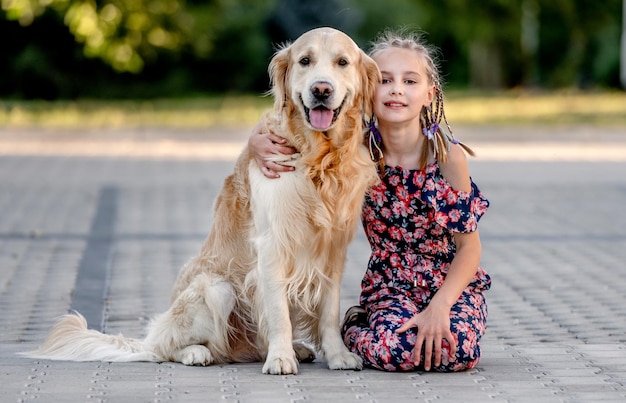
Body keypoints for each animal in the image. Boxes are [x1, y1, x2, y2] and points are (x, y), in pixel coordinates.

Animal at [22, 27, 378, 376]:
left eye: (342, 62)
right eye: (305, 61)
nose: (321, 89)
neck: (318, 158)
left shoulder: (332, 249)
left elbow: (329, 311)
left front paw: (337, 355)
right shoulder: (272, 244)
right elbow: (278, 311)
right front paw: (280, 358)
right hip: (216, 288)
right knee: (165, 346)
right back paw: (198, 352)